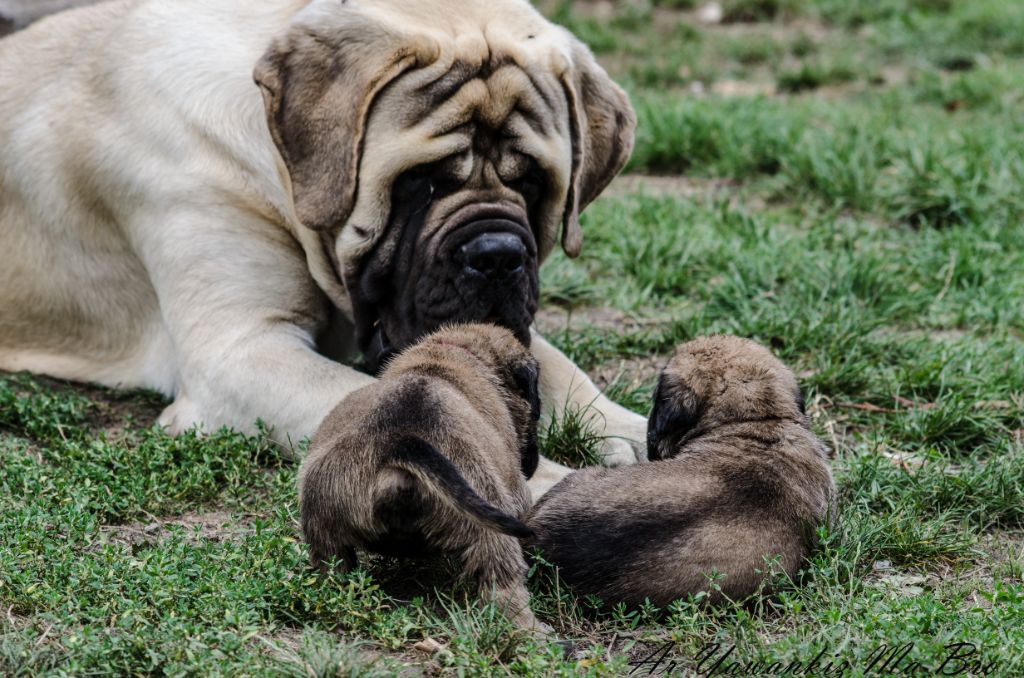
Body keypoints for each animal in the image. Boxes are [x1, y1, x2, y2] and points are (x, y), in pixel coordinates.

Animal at [0, 0, 643, 493]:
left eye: (532, 180)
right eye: (421, 180)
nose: (497, 255)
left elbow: (559, 369)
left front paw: (631, 432)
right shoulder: (242, 351)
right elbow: (390, 402)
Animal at [299, 325, 544, 630]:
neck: (446, 352)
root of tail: (401, 441)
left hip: (323, 521)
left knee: (331, 565)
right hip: (492, 518)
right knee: (503, 584)